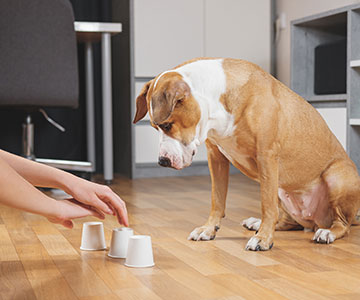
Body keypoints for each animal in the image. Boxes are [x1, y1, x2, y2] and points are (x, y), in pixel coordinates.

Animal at [132, 58, 360, 251]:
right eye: (154, 127)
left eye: (167, 125)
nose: (162, 161)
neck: (217, 99)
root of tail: (315, 221)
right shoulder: (216, 157)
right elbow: (217, 199)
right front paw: (209, 229)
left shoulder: (266, 156)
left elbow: (267, 205)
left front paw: (263, 239)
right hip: (282, 189)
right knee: (287, 221)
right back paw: (257, 223)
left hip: (337, 178)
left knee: (342, 224)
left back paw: (327, 233)